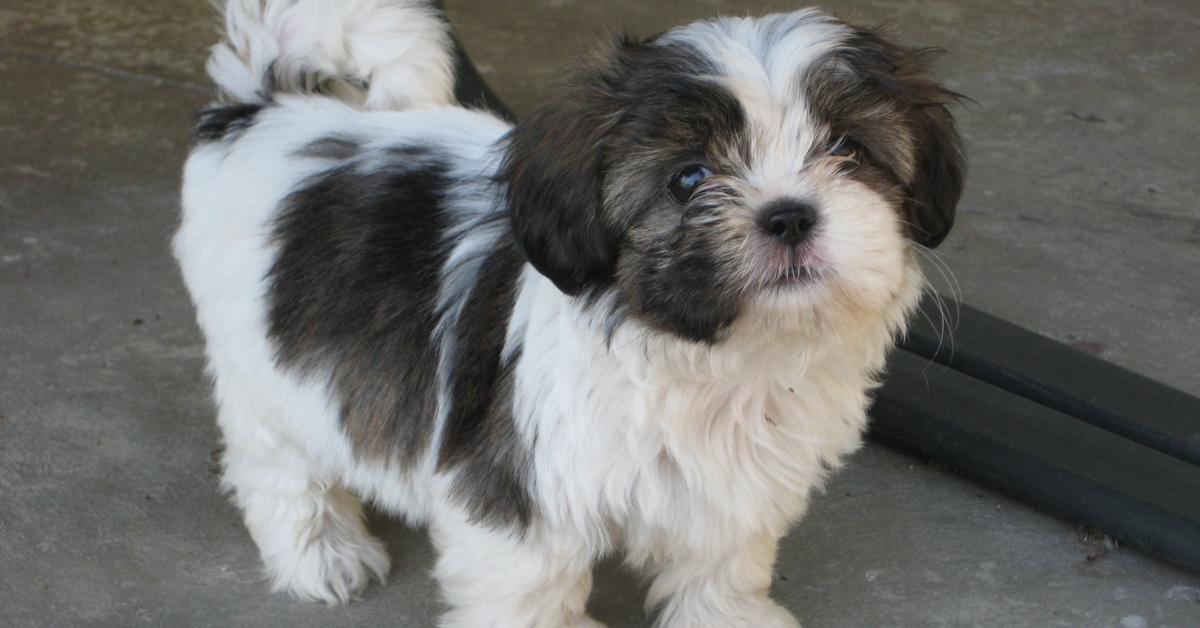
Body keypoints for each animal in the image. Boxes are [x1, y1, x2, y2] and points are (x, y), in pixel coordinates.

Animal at [175, 1, 964, 624]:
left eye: (848, 150)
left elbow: (723, 558)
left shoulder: (738, 482)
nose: (790, 215)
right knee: (275, 464)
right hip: (265, 367)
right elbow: (530, 587)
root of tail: (260, 109)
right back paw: (321, 552)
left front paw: (727, 617)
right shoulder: (517, 485)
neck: (711, 355)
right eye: (690, 179)